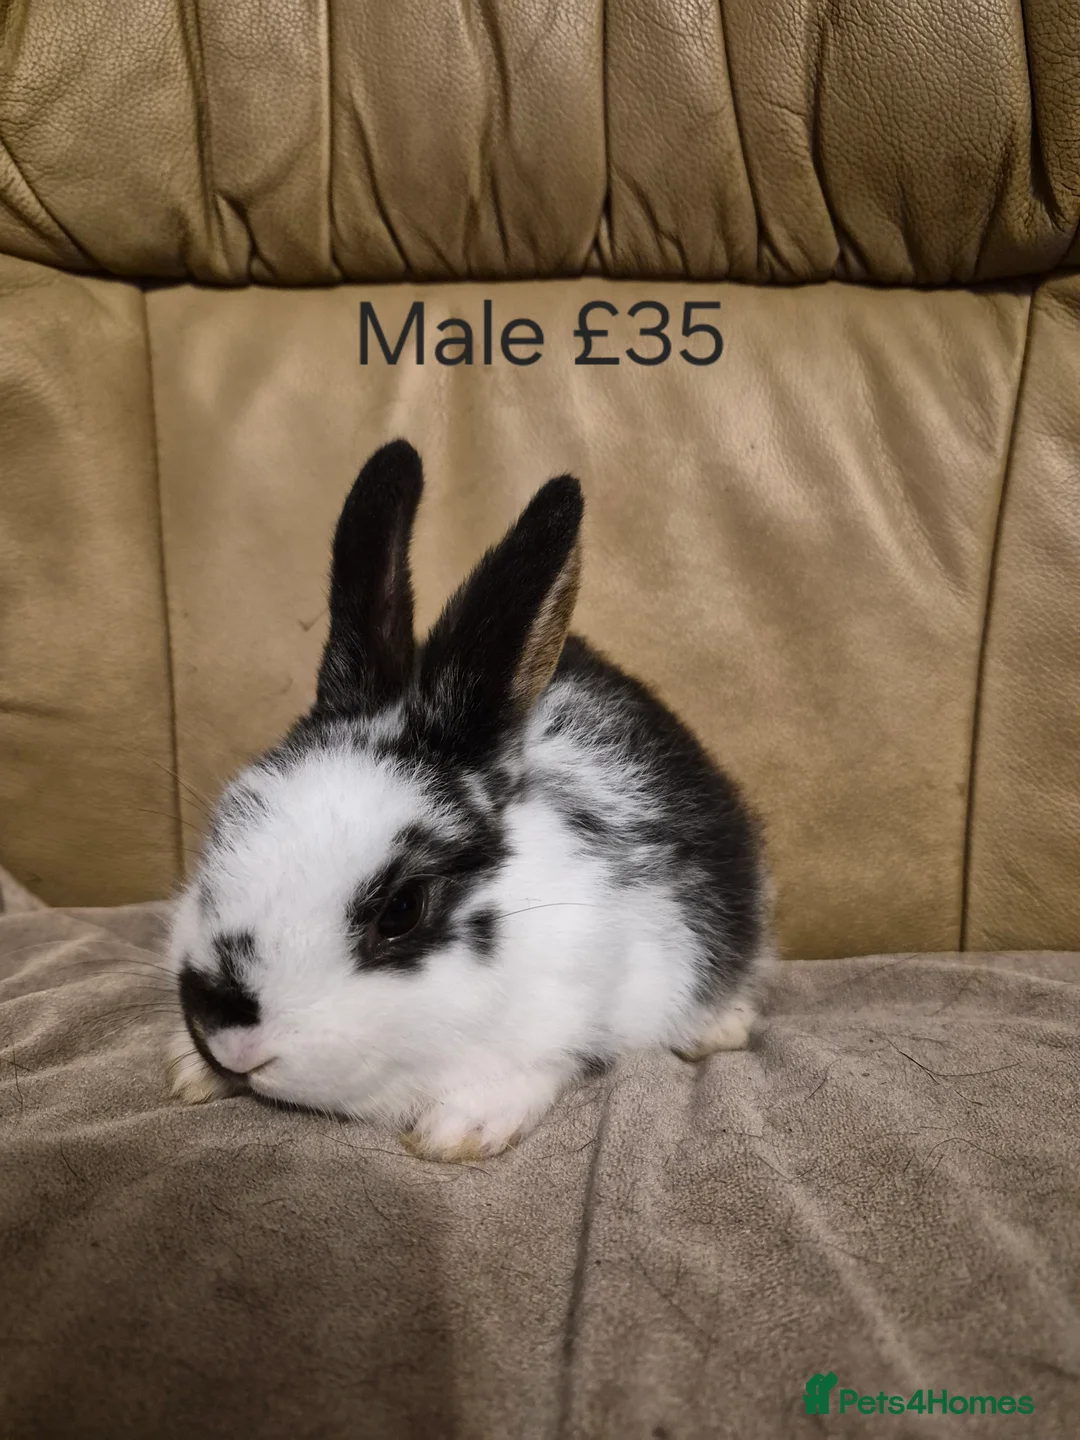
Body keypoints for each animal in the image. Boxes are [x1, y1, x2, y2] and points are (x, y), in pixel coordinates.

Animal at [166, 440, 774, 1161]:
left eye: (402, 909)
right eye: (220, 833)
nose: (225, 1036)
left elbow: (541, 1063)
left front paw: (460, 1129)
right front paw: (189, 1070)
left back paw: (722, 1025)